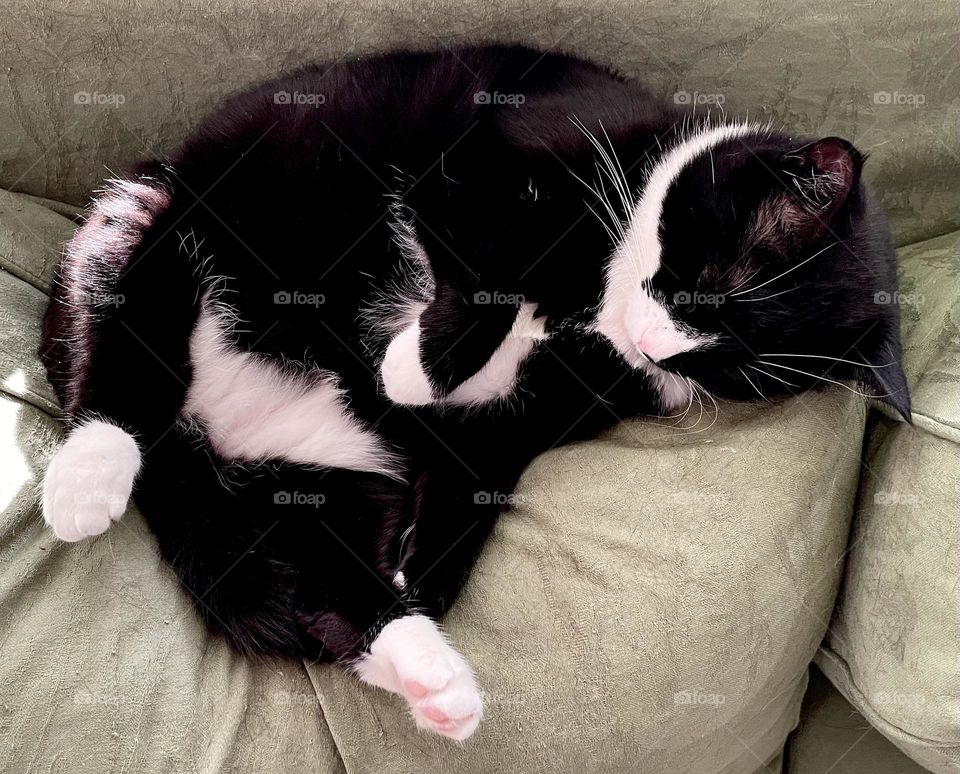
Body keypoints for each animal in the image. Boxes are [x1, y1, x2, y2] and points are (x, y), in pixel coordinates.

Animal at [39, 45, 908, 744]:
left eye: (731, 364)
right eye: (704, 288)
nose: (655, 347)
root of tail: (206, 438)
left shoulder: (527, 414)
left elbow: (477, 476)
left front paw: (427, 573)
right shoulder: (484, 166)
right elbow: (484, 282)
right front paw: (413, 367)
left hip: (331, 478)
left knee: (328, 589)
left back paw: (432, 676)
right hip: (152, 217)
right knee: (124, 357)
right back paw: (89, 475)